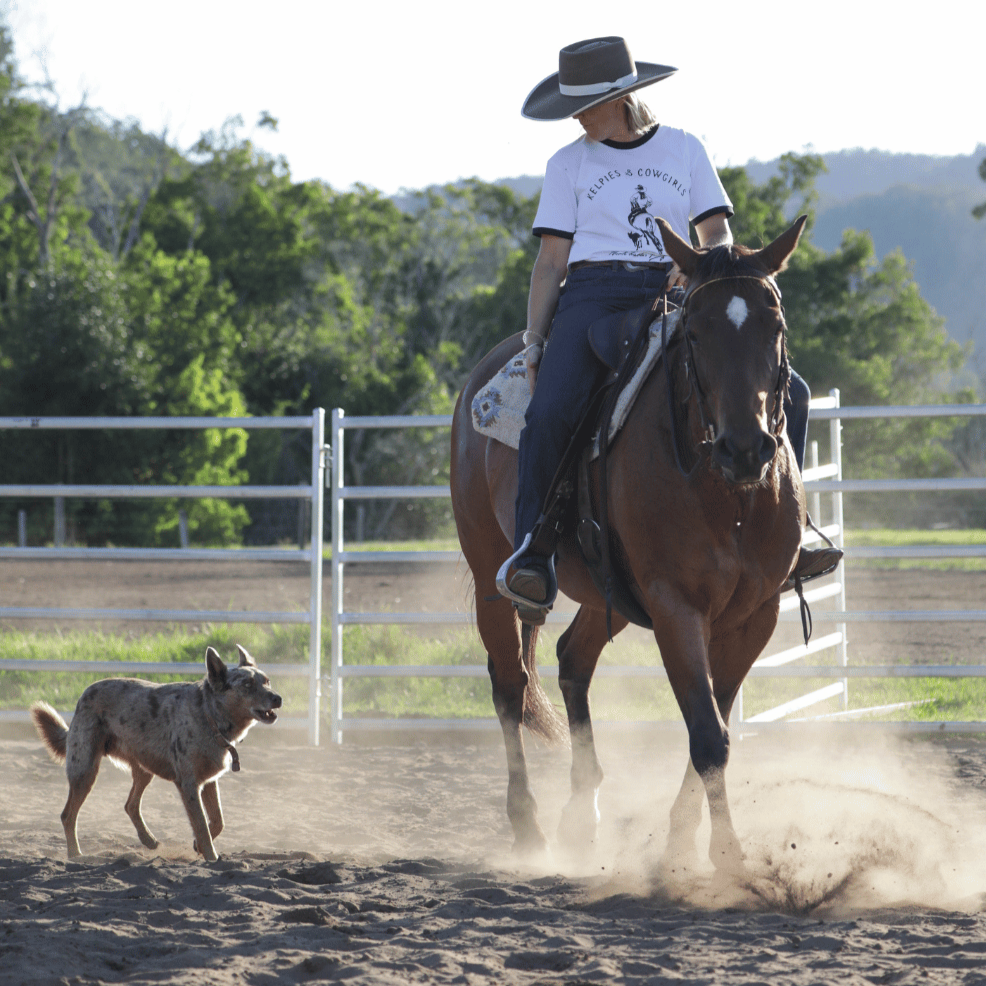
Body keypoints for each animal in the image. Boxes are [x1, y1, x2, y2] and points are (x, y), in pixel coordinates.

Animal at [452, 213, 808, 868]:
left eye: (774, 326)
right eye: (695, 332)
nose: (746, 449)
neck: (728, 497)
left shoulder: (756, 614)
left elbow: (716, 726)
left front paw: (680, 844)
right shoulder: (675, 606)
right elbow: (708, 736)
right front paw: (725, 859)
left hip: (605, 591)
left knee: (571, 660)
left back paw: (580, 815)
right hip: (491, 570)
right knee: (510, 685)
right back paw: (529, 829)